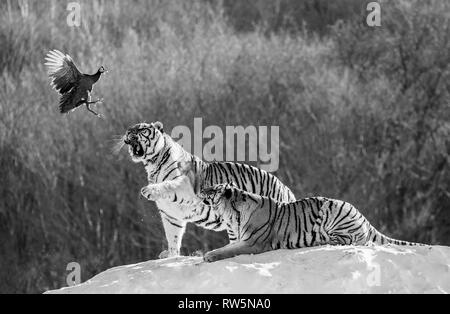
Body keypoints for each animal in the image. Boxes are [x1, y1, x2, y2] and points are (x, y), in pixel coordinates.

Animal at [123, 121, 296, 256]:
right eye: (130, 129)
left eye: (141, 129)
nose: (128, 132)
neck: (152, 165)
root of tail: (286, 189)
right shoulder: (170, 215)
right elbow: (173, 238)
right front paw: (171, 256)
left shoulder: (186, 184)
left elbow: (169, 184)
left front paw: (148, 190)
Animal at [195, 184, 424, 262]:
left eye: (212, 189)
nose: (200, 189)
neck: (231, 215)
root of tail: (364, 217)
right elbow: (228, 246)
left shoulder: (253, 243)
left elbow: (227, 250)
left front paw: (209, 255)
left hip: (333, 212)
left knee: (346, 240)